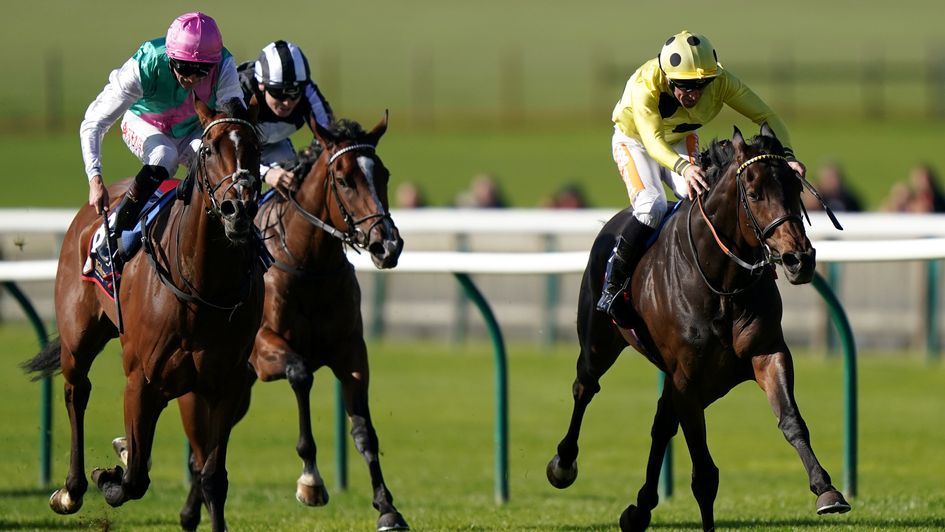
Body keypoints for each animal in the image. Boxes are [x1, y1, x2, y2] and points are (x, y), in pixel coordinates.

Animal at [23, 98, 266, 532]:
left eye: (255, 148)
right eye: (208, 150)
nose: (237, 209)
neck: (202, 285)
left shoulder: (227, 383)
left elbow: (212, 476)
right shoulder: (141, 380)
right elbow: (134, 479)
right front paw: (108, 476)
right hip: (78, 338)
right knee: (76, 391)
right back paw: (70, 490)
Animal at [177, 113, 406, 532]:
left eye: (382, 173)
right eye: (344, 179)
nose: (387, 245)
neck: (309, 264)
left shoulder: (351, 352)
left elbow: (364, 430)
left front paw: (387, 508)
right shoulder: (266, 349)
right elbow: (301, 375)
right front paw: (311, 481)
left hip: (240, 390)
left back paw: (190, 510)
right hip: (201, 386)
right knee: (200, 450)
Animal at [544, 125, 852, 532]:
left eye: (795, 189)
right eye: (754, 193)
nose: (799, 259)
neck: (722, 281)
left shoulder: (765, 353)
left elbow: (792, 421)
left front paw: (826, 490)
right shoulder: (687, 380)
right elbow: (704, 474)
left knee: (661, 423)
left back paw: (640, 507)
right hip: (599, 343)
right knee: (585, 387)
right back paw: (564, 465)